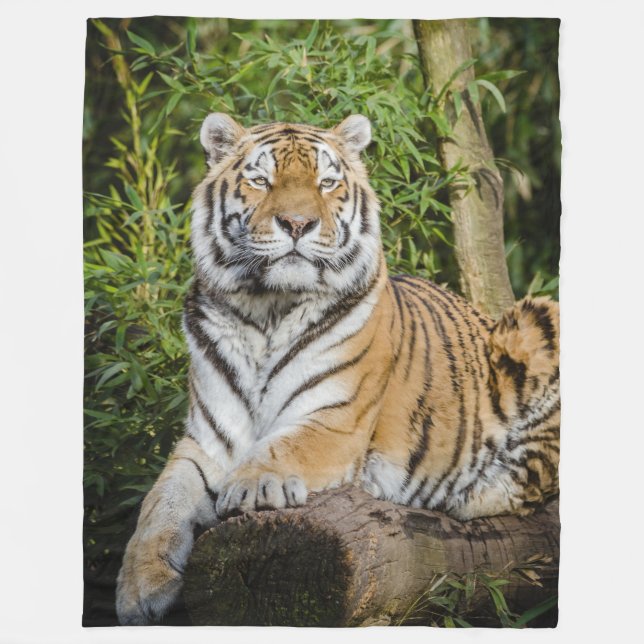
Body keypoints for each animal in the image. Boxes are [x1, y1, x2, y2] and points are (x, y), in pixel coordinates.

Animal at [115, 113, 560, 625]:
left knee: (537, 479)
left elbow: (281, 446)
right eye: (261, 180)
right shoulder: (207, 439)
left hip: (539, 319)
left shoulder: (335, 421)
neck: (266, 311)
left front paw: (249, 487)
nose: (297, 223)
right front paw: (139, 588)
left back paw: (466, 493)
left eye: (326, 183)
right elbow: (159, 504)